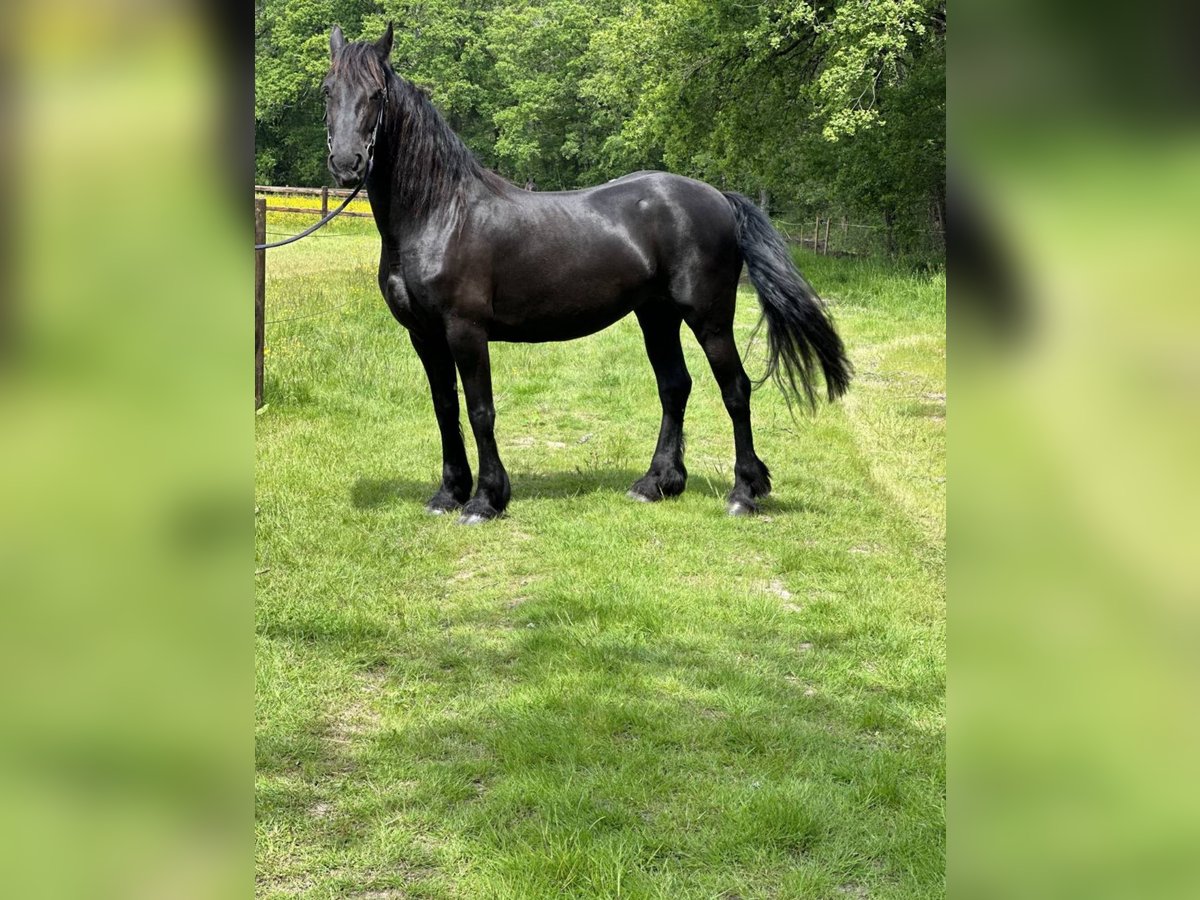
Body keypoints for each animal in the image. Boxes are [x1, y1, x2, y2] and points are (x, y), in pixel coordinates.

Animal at [322, 24, 852, 524]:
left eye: (377, 94)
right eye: (327, 90)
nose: (347, 164)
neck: (441, 215)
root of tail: (719, 197)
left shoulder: (465, 330)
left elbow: (480, 410)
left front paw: (486, 501)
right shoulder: (424, 334)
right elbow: (445, 407)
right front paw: (448, 494)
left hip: (709, 317)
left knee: (735, 389)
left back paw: (744, 493)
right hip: (656, 315)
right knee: (675, 386)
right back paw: (657, 483)